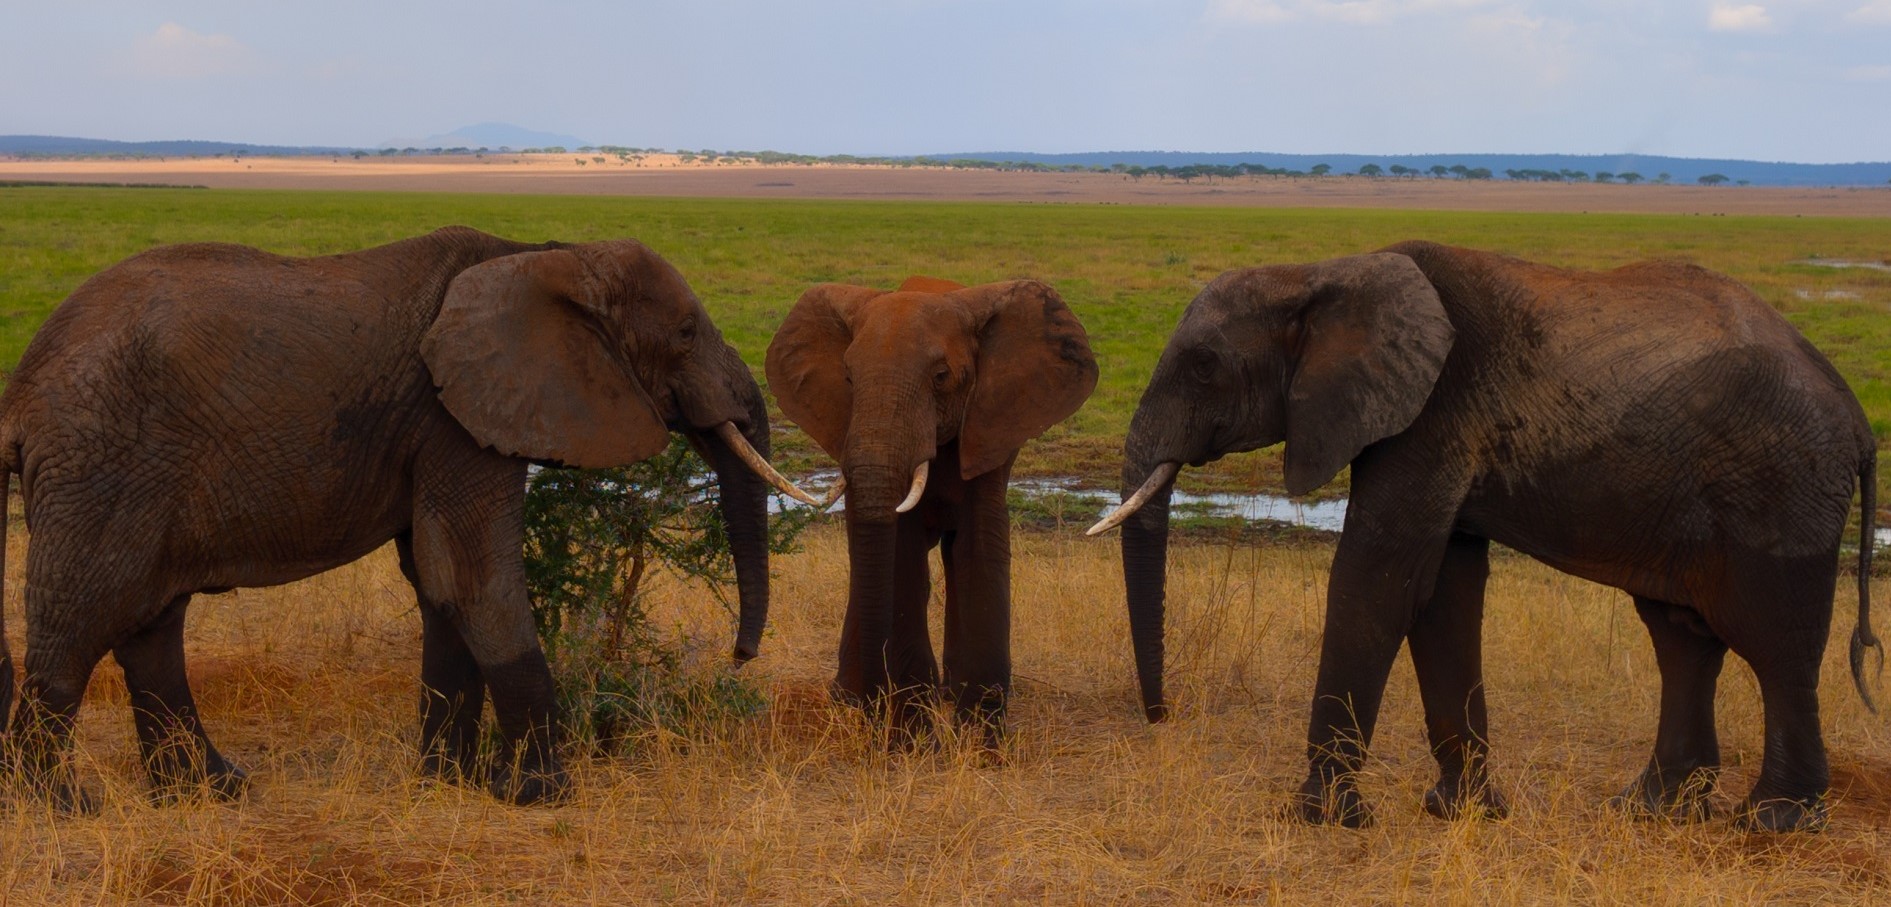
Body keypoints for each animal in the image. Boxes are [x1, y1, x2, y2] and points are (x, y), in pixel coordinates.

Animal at [0, 226, 813, 812]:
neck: (548, 256)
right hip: (103, 460)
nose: (741, 655)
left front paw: (449, 784)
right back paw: (60, 805)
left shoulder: (452, 416)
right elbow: (474, 578)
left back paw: (212, 791)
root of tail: (23, 385)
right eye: (685, 333)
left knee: (149, 625)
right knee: (82, 617)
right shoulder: (456, 416)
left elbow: (437, 580)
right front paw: (540, 796)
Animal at [765, 275, 1096, 741]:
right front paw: (914, 741)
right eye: (848, 377)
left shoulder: (990, 429)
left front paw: (981, 740)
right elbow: (901, 560)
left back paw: (942, 695)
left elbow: (981, 549)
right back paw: (851, 698)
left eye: (941, 377)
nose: (873, 709)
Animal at [1090, 240, 1879, 832]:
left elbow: (1378, 585)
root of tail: (1856, 414)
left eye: (1204, 367)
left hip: (1782, 487)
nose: (1162, 716)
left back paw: (1773, 822)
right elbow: (1443, 596)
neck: (1321, 272)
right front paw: (1463, 811)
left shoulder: (1432, 414)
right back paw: (1650, 811)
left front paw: (1326, 818)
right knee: (1682, 636)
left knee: (1775, 647)